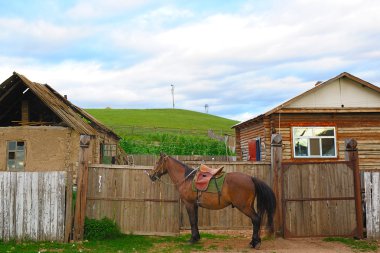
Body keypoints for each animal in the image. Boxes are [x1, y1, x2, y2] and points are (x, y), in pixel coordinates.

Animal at [148, 153, 276, 248]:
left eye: (157, 162)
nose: (151, 175)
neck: (187, 179)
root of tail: (251, 178)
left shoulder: (189, 204)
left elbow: (192, 221)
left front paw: (192, 239)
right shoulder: (195, 205)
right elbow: (195, 221)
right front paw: (197, 238)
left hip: (244, 207)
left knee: (256, 219)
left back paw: (255, 243)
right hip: (249, 206)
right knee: (256, 220)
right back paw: (254, 241)